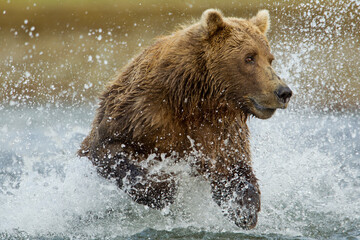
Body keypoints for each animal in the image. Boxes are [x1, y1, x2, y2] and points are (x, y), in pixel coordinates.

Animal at [79, 8, 292, 229]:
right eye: (249, 58)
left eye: (270, 59)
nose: (283, 92)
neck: (193, 98)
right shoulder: (139, 113)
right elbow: (108, 148)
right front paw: (163, 189)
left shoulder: (219, 128)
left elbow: (232, 166)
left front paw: (244, 207)